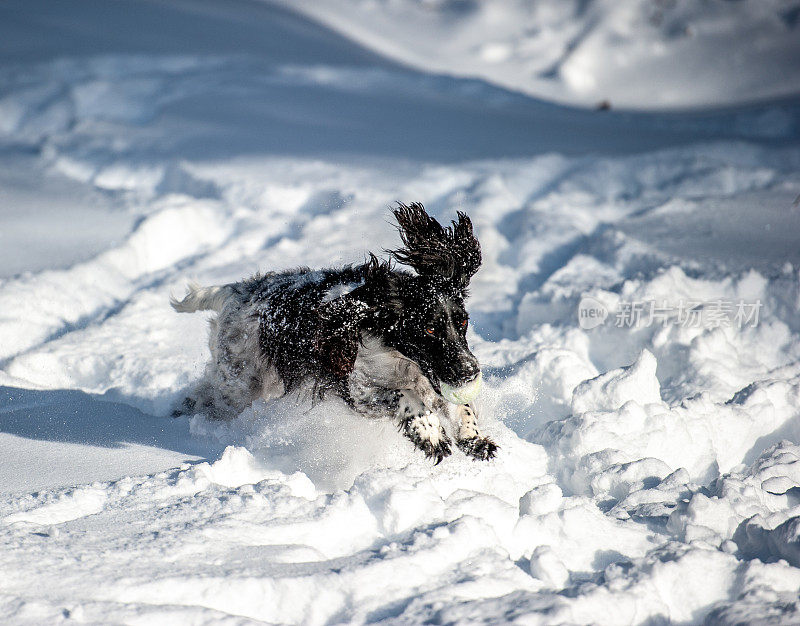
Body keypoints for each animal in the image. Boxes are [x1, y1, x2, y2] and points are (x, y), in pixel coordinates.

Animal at [170, 202, 494, 460]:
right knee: (205, 398)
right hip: (238, 383)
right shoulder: (358, 390)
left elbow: (460, 405)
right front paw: (430, 434)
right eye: (428, 328)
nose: (469, 371)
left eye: (462, 322)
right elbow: (405, 396)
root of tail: (237, 291)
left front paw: (473, 438)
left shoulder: (431, 379)